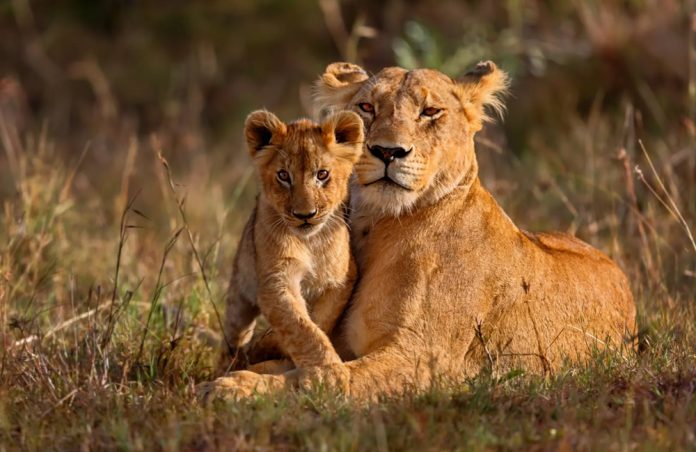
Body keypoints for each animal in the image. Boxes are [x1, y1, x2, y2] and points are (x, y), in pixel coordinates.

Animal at [216, 109, 363, 375]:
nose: (305, 215)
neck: (310, 242)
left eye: (322, 174)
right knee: (233, 335)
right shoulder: (276, 280)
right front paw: (329, 372)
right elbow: (300, 326)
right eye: (283, 176)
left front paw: (271, 344)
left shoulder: (341, 280)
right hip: (239, 293)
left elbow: (318, 320)